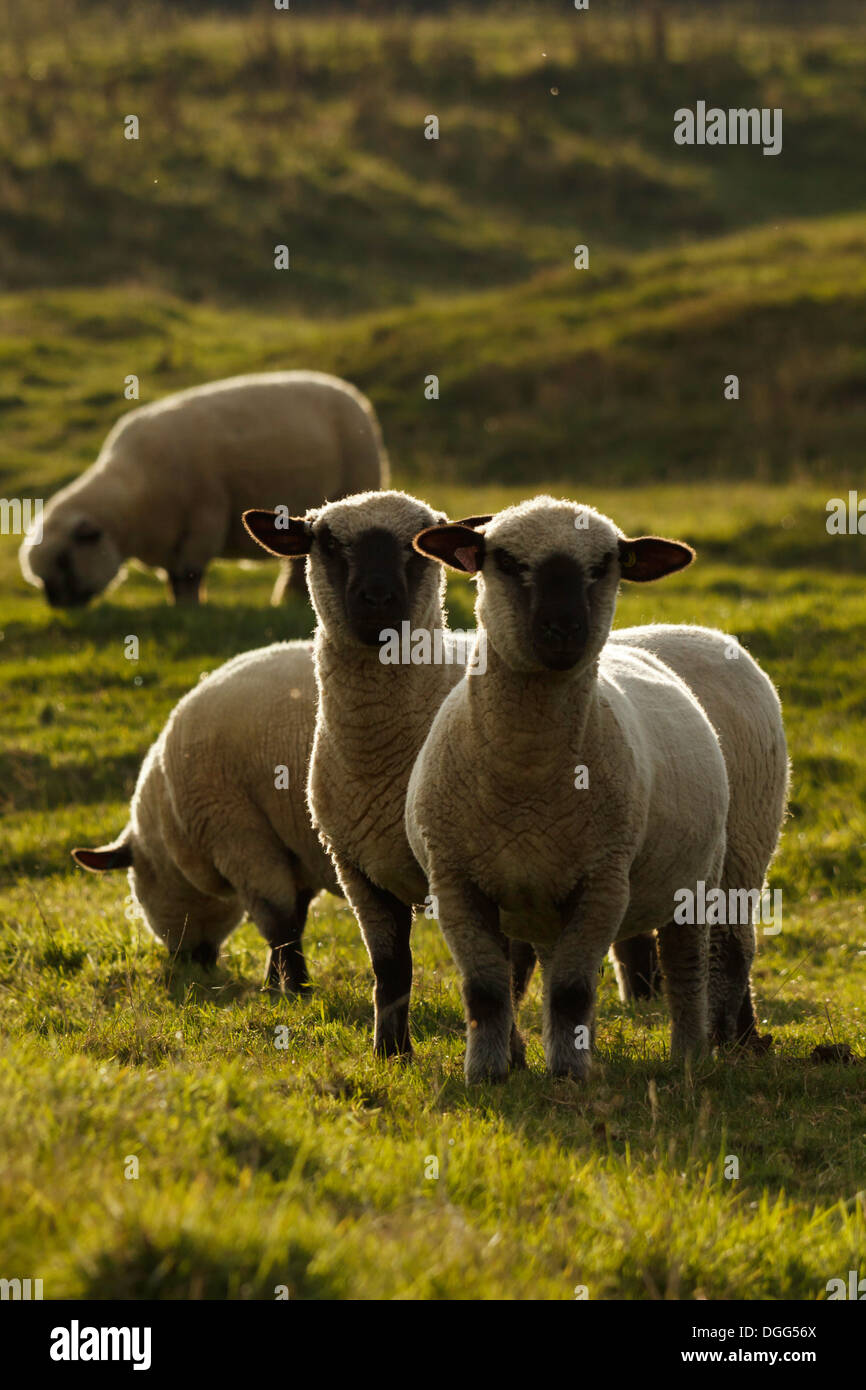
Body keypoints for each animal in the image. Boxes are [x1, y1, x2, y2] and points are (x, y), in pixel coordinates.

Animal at [20, 371, 388, 609]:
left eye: (65, 560)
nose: (56, 605)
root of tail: (353, 394)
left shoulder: (204, 517)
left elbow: (189, 572)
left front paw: (190, 607)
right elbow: (173, 576)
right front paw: (177, 604)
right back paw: (290, 599)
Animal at [71, 641, 341, 991]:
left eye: (139, 897)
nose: (187, 962)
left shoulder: (240, 836)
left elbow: (280, 923)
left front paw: (295, 990)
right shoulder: (294, 848)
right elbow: (295, 918)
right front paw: (275, 984)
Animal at [242, 491, 532, 1061]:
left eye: (419, 545)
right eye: (327, 542)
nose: (377, 597)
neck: (381, 761)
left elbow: (505, 973)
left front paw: (509, 1055)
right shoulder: (360, 869)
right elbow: (391, 968)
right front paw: (391, 1053)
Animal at [406, 497, 732, 1082]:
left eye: (605, 564)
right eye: (505, 561)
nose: (563, 629)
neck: (528, 779)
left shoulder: (605, 882)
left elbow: (572, 990)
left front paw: (569, 1074)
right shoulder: (455, 881)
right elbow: (487, 988)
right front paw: (487, 1073)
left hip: (695, 881)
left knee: (686, 968)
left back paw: (688, 1057)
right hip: (539, 902)